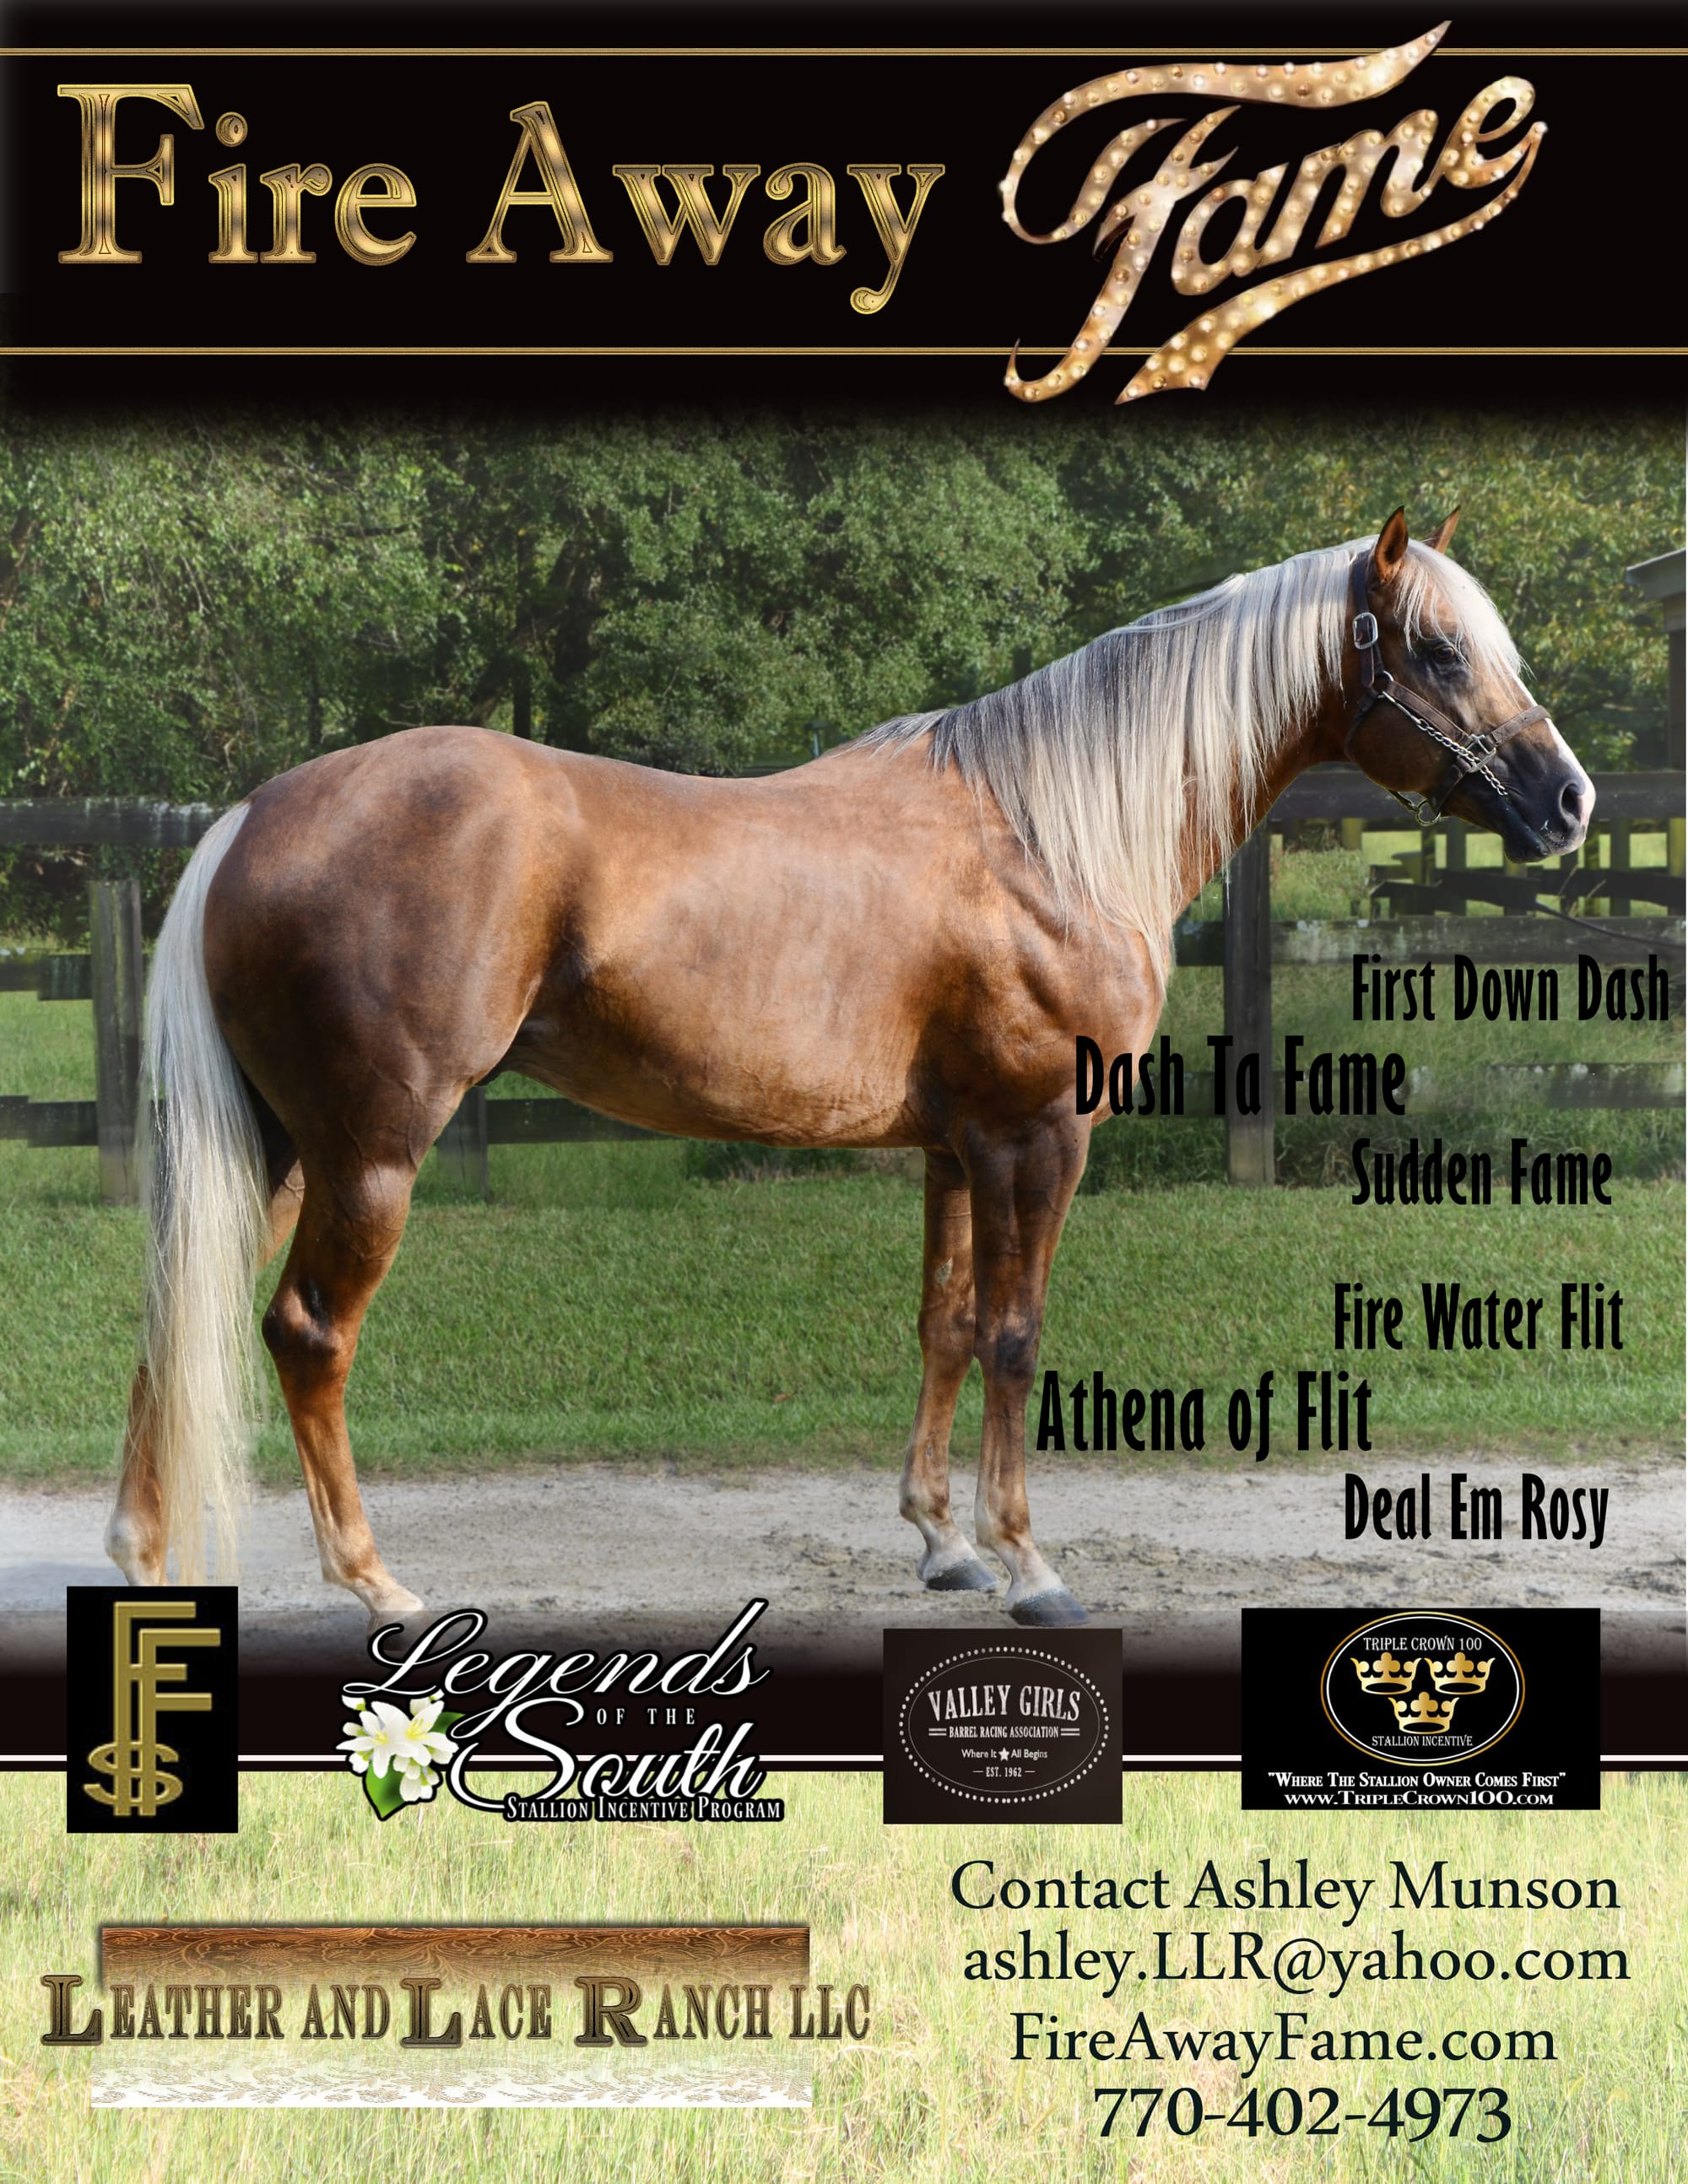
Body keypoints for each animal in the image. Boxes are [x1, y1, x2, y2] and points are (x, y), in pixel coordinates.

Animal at [107, 508, 1593, 1627]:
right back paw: (376, 1584)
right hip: (372, 1150)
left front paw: (943, 1543)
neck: (1052, 836)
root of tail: (256, 814)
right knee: (308, 1336)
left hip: (279, 1147)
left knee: (182, 1309)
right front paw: (1030, 1565)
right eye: (1438, 648)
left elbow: (944, 1325)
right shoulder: (1037, 1139)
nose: (1568, 799)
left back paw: (144, 1556)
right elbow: (1014, 1335)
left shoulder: (955, 1147)